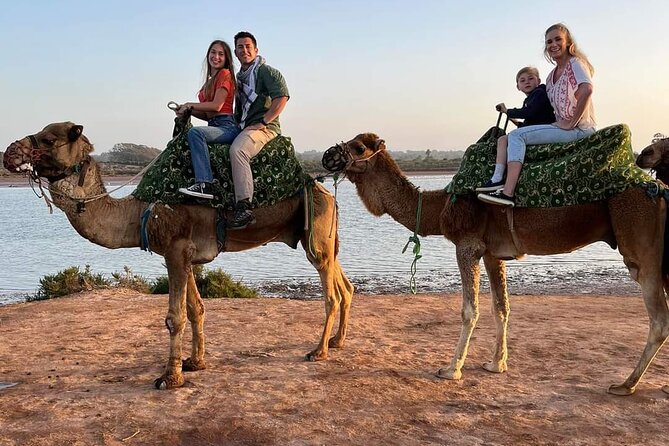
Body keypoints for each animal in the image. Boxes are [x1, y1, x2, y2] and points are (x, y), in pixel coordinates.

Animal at [3, 122, 354, 390]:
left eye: (49, 139)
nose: (9, 152)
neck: (141, 211)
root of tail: (324, 189)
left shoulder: (175, 250)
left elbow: (175, 318)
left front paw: (169, 378)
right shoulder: (185, 256)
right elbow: (197, 309)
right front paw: (195, 363)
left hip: (316, 238)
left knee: (331, 295)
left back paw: (319, 351)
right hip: (323, 238)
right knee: (346, 286)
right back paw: (338, 342)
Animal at [324, 132, 669, 395]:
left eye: (359, 147)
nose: (328, 156)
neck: (440, 207)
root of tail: (661, 191)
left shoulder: (467, 246)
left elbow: (469, 310)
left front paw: (451, 369)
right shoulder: (492, 253)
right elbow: (501, 307)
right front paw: (496, 364)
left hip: (642, 246)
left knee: (659, 319)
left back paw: (626, 384)